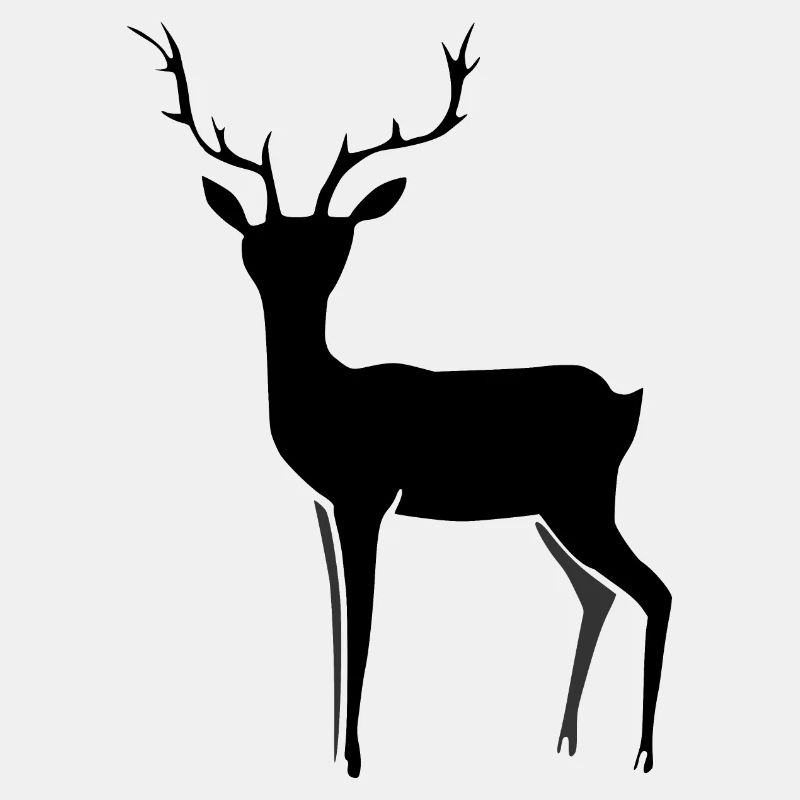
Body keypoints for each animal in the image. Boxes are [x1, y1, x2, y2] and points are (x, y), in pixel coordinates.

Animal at [130, 23, 671, 777]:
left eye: (337, 243)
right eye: (255, 244)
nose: (286, 275)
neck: (330, 403)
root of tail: (627, 402)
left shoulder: (368, 494)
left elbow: (362, 621)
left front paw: (356, 761)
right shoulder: (328, 503)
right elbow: (336, 618)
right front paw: (333, 755)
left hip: (583, 499)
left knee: (656, 590)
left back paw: (643, 755)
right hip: (551, 511)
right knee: (601, 593)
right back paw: (565, 744)